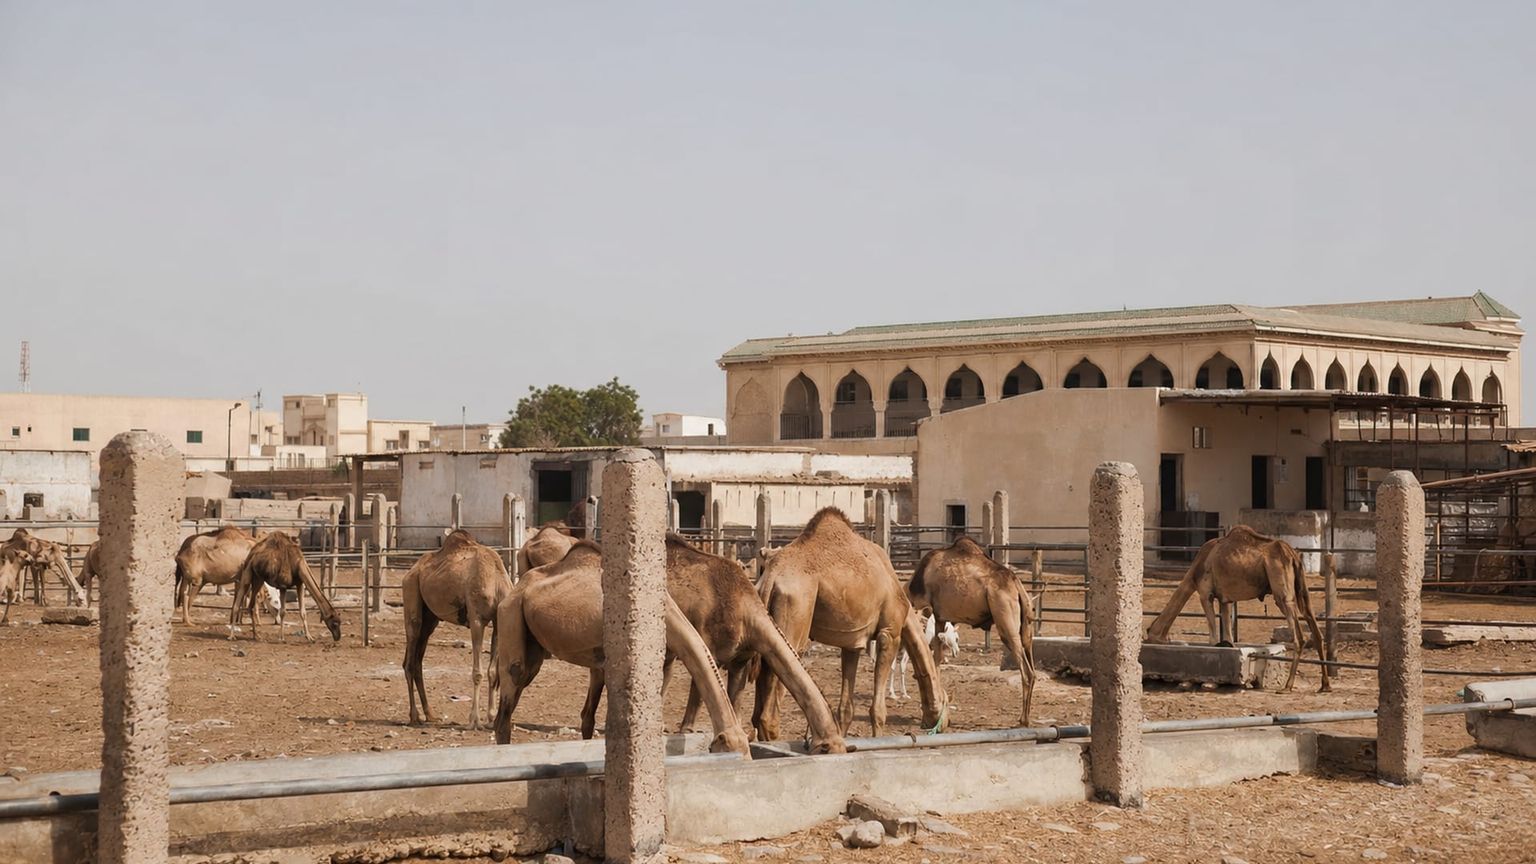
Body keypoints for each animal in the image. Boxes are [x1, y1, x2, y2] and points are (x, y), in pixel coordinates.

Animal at [402, 530, 513, 730]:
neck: (496, 580)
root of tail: (412, 570)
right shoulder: (477, 619)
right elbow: (478, 672)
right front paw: (474, 720)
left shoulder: (497, 623)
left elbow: (493, 671)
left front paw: (491, 717)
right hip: (411, 595)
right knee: (409, 660)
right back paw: (415, 716)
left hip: (430, 619)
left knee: (417, 661)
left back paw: (430, 714)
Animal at [492, 541, 752, 757]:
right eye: (732, 750)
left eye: (748, 750)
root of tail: (517, 587)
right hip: (511, 616)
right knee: (510, 688)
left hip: (533, 642)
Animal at [754, 508, 948, 740]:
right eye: (947, 701)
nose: (944, 724)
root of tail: (770, 578)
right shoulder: (890, 632)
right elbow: (877, 710)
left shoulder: (852, 642)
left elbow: (846, 709)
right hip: (795, 610)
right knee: (768, 715)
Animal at [908, 535, 1038, 726]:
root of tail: (1017, 586)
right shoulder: (940, 618)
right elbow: (937, 659)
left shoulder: (934, 612)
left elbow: (934, 658)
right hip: (1027, 624)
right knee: (1031, 663)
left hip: (1005, 621)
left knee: (1026, 671)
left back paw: (1023, 720)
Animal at [1146, 525, 1330, 693]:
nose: (1151, 641)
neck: (1193, 574)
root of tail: (1293, 556)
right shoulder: (1225, 599)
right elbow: (1228, 636)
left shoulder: (1205, 593)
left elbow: (1213, 639)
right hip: (1302, 588)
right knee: (1315, 627)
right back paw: (1325, 685)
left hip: (1282, 592)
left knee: (1299, 636)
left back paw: (1287, 686)